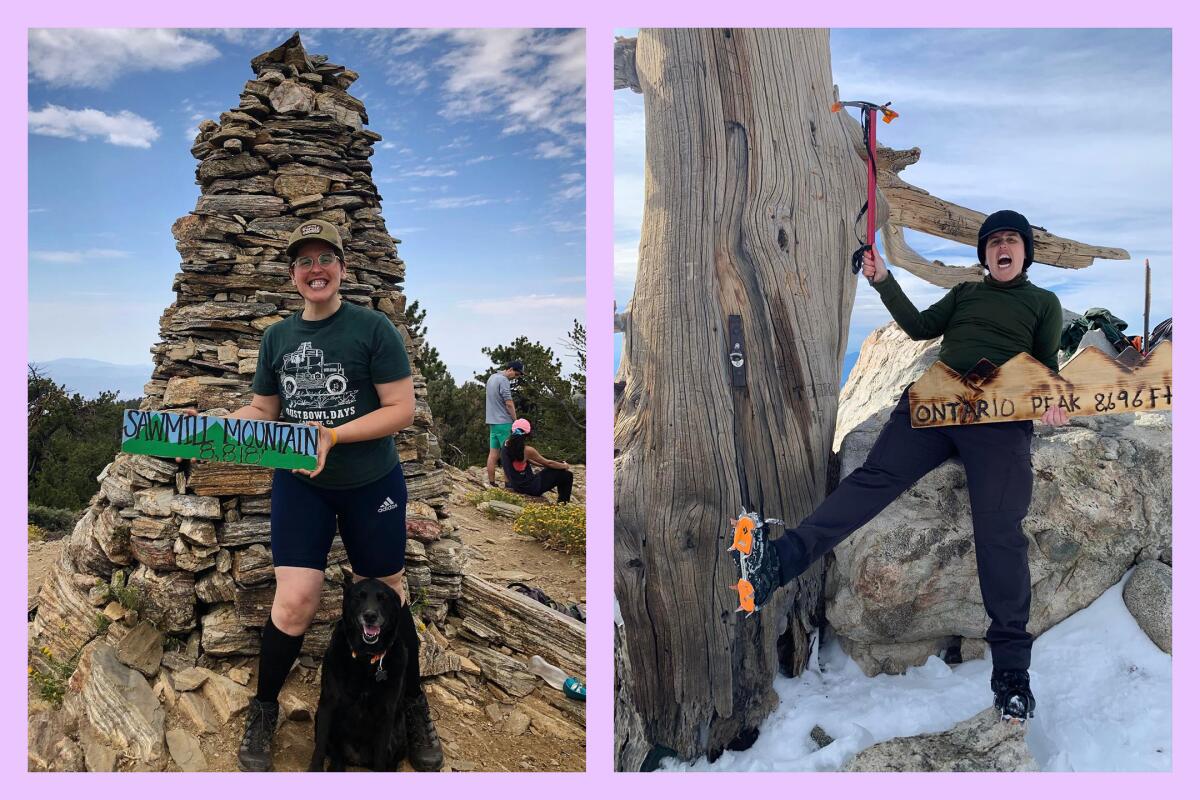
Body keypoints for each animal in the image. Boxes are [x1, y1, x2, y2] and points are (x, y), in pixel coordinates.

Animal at [309, 578, 412, 772]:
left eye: (383, 598)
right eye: (359, 596)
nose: (370, 615)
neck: (365, 659)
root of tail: (357, 759)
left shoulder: (386, 713)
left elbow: (380, 759)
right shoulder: (328, 703)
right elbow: (319, 748)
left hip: (399, 732)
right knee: (335, 754)